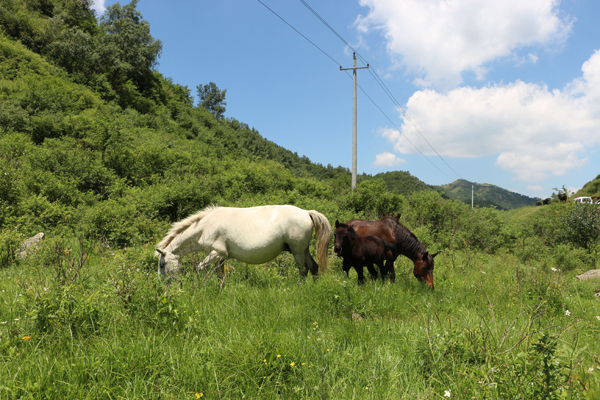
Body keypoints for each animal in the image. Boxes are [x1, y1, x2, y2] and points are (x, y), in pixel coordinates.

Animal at [155, 205, 330, 276]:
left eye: (162, 265)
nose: (164, 286)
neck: (205, 227)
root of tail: (306, 212)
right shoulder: (220, 257)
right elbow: (220, 276)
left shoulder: (217, 253)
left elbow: (198, 268)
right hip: (303, 250)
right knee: (314, 268)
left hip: (297, 251)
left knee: (303, 270)